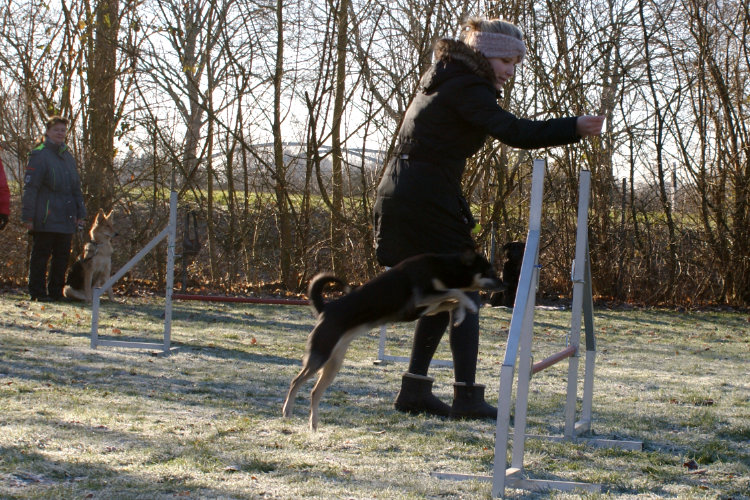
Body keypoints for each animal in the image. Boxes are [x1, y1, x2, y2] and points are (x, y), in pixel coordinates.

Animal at [282, 250, 506, 430]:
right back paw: (287, 411)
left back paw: (313, 424)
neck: (445, 268)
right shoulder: (423, 298)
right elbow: (456, 292)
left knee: (314, 392)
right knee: (295, 381)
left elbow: (453, 300)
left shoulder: (429, 307)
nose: (504, 285)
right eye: (489, 271)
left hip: (333, 364)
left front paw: (461, 314)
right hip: (320, 355)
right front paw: (469, 305)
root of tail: (326, 309)